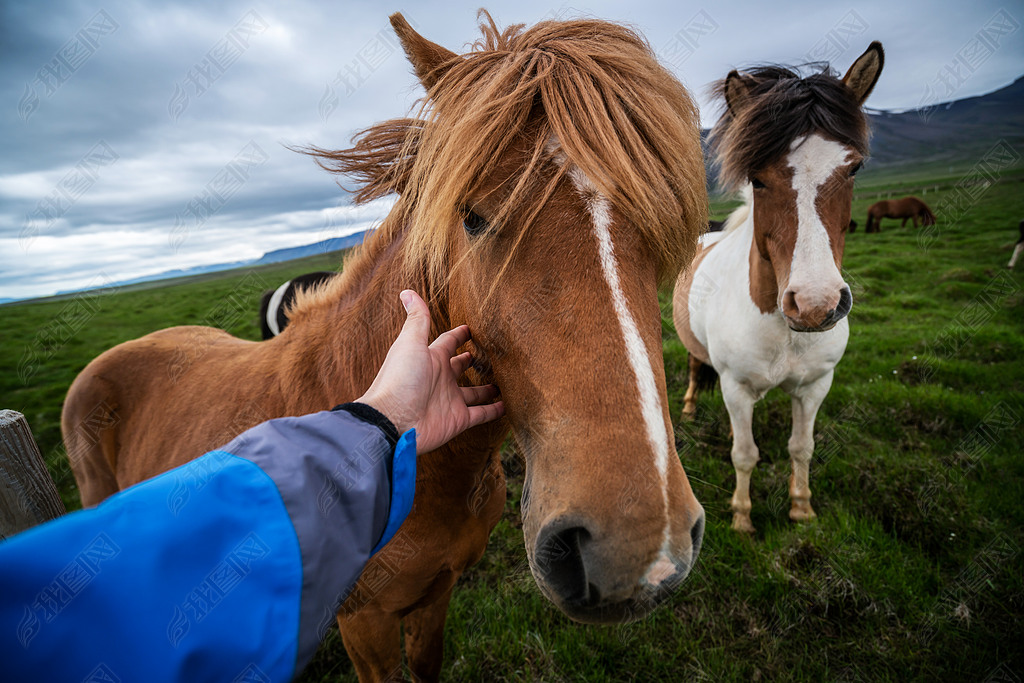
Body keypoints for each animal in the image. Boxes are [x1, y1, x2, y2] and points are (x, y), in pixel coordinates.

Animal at [671, 42, 880, 532]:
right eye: (758, 178)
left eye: (854, 168)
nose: (816, 304)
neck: (784, 330)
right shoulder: (735, 388)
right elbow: (744, 454)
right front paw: (742, 519)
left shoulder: (816, 386)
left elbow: (801, 448)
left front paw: (802, 508)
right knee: (693, 366)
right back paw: (688, 407)